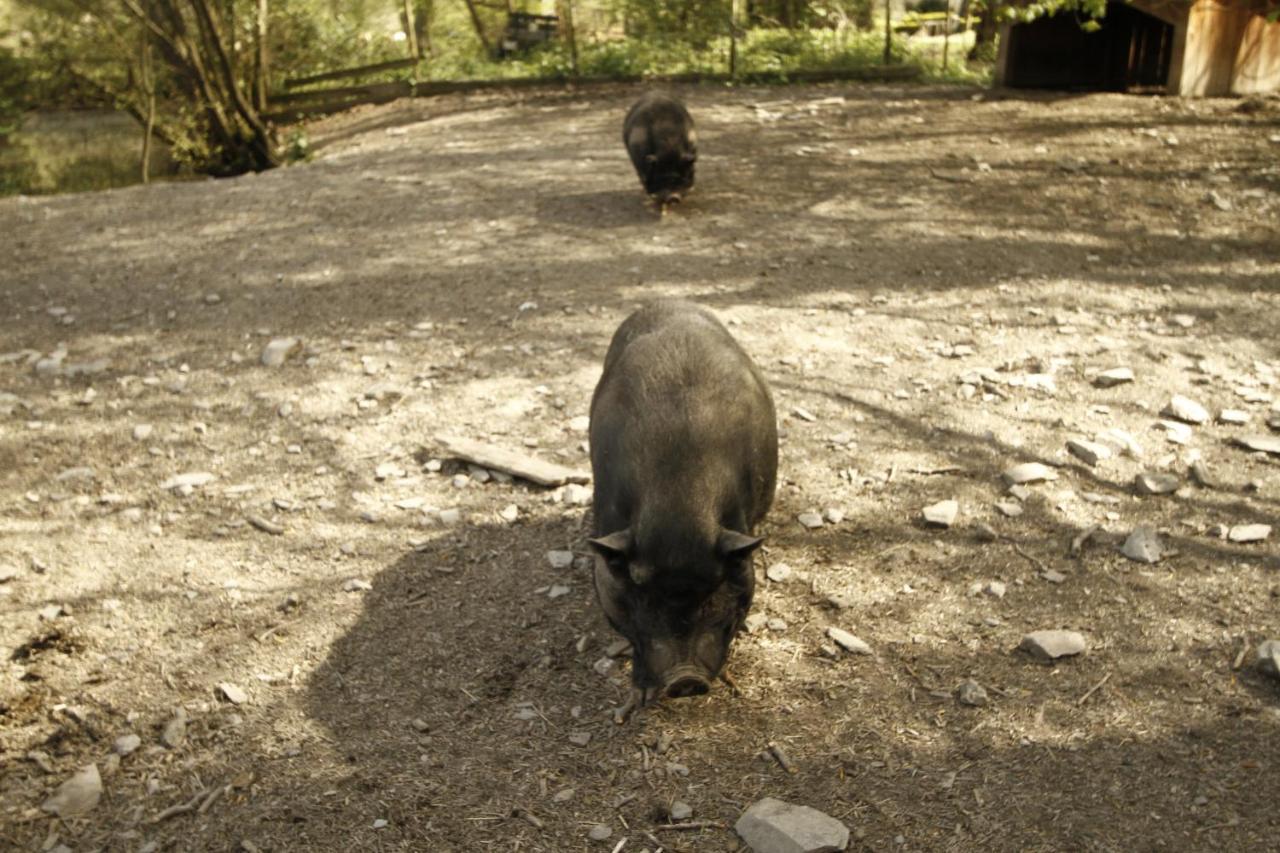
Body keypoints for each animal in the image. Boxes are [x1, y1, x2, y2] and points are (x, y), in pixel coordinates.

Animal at [588, 298, 778, 717]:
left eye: (713, 596)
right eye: (644, 597)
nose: (686, 681)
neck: (679, 502)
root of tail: (671, 301)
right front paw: (636, 703)